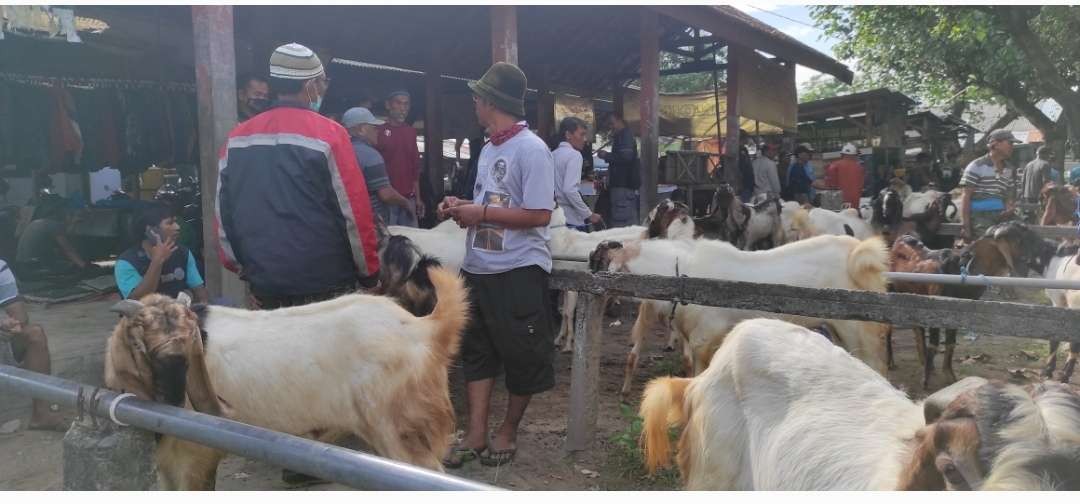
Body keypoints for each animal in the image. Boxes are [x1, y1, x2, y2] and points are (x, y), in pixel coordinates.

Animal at [102, 266, 468, 492]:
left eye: (191, 340)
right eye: (144, 343)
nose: (176, 398)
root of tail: (425, 328)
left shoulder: (193, 451)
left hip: (399, 428)